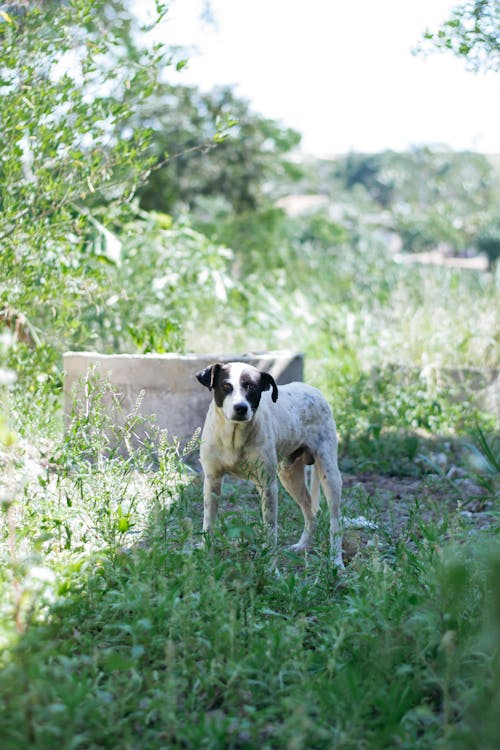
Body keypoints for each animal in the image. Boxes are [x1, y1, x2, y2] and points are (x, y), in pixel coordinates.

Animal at [195, 362, 344, 568]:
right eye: (226, 386)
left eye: (251, 387)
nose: (240, 408)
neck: (234, 438)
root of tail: (313, 390)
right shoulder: (212, 481)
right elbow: (208, 523)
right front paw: (205, 554)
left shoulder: (268, 486)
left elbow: (270, 532)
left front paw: (272, 568)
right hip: (289, 475)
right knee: (312, 513)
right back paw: (302, 546)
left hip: (329, 474)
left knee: (335, 522)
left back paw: (336, 561)